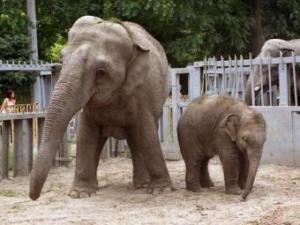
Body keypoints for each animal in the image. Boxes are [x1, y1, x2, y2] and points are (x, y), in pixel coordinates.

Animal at [29, 16, 173, 200]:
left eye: (101, 72)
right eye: (62, 59)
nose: (33, 197)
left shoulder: (144, 92)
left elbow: (147, 133)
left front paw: (160, 190)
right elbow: (86, 134)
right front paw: (79, 193)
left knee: (138, 137)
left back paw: (142, 185)